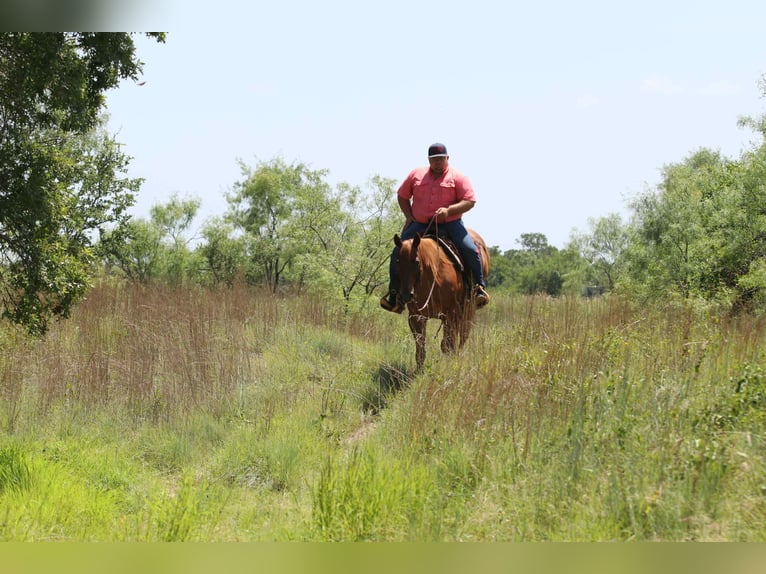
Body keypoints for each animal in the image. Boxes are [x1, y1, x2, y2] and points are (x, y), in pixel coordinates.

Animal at [394, 228, 490, 371]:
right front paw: (419, 371)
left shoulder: (450, 314)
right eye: (397, 261)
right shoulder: (415, 316)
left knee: (463, 335)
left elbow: (447, 345)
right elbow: (420, 346)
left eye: (416, 261)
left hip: (468, 309)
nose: (406, 295)